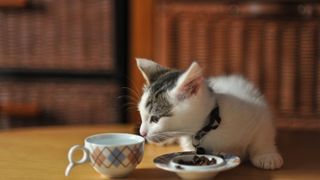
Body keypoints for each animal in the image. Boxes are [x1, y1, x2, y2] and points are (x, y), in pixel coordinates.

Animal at [136, 58, 284, 169]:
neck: (209, 128)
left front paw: (267, 155)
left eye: (155, 118)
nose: (142, 133)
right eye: (142, 115)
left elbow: (262, 136)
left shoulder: (258, 110)